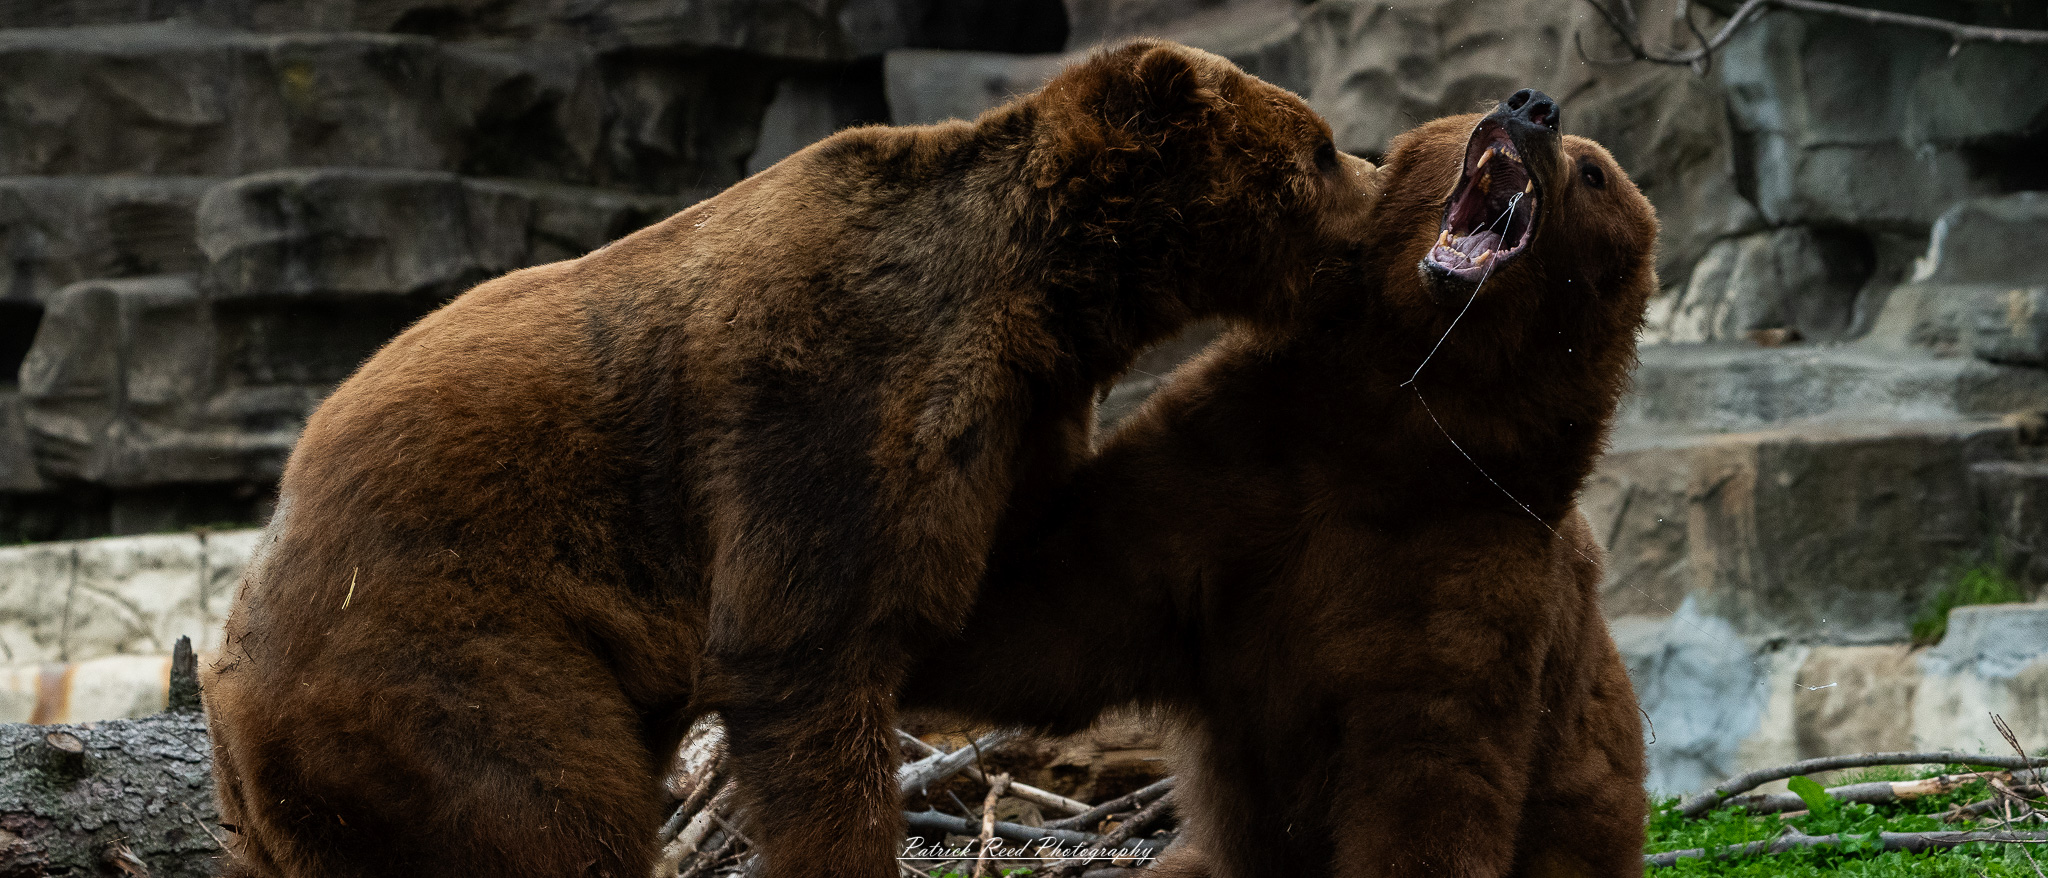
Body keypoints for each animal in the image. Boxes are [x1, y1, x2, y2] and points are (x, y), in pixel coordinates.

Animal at [200, 40, 1377, 878]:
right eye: (1316, 147)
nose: (1374, 192)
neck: (1046, 300)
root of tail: (227, 687)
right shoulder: (828, 394)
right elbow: (809, 647)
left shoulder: (1011, 430)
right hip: (446, 652)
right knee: (544, 808)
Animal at [902, 88, 1658, 877]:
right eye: (1468, 116)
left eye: (1597, 174)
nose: (1534, 107)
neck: (1395, 423)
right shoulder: (1236, 467)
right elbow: (1051, 610)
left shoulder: (1472, 558)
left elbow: (1426, 779)